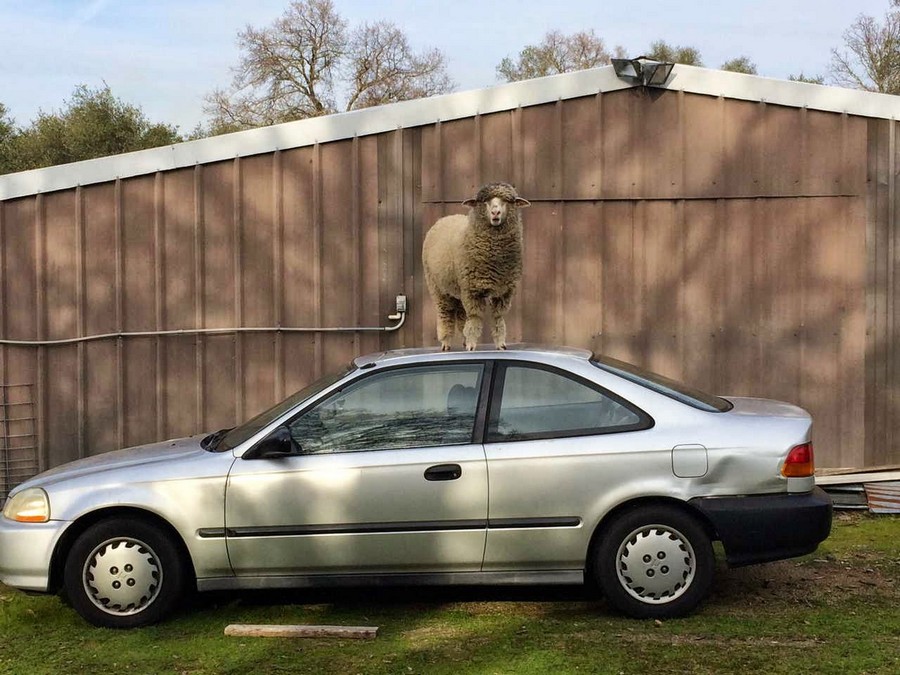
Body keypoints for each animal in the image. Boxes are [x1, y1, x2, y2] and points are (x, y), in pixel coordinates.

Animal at [426, 185, 532, 354]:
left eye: (508, 201)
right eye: (485, 201)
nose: (495, 213)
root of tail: (445, 218)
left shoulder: (504, 291)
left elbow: (497, 318)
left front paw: (500, 344)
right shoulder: (473, 290)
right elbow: (475, 317)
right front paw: (471, 345)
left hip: (459, 288)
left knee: (461, 315)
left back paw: (463, 339)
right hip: (437, 287)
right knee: (446, 314)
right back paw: (446, 343)